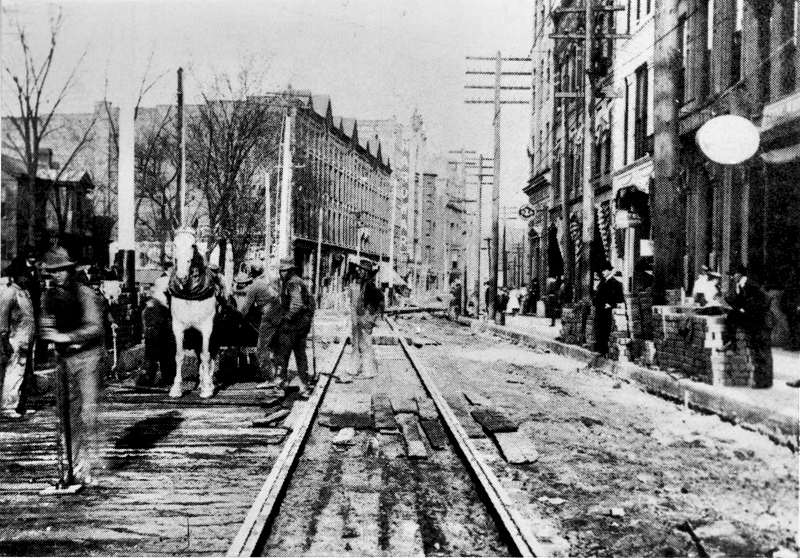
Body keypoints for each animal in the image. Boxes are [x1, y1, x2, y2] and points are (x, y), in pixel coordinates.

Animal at [170, 230, 217, 400]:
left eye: (193, 245)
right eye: (175, 244)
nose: (182, 275)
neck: (190, 295)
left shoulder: (207, 328)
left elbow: (206, 355)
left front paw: (207, 389)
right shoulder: (177, 327)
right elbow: (179, 355)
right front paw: (176, 389)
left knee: (210, 355)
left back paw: (208, 382)